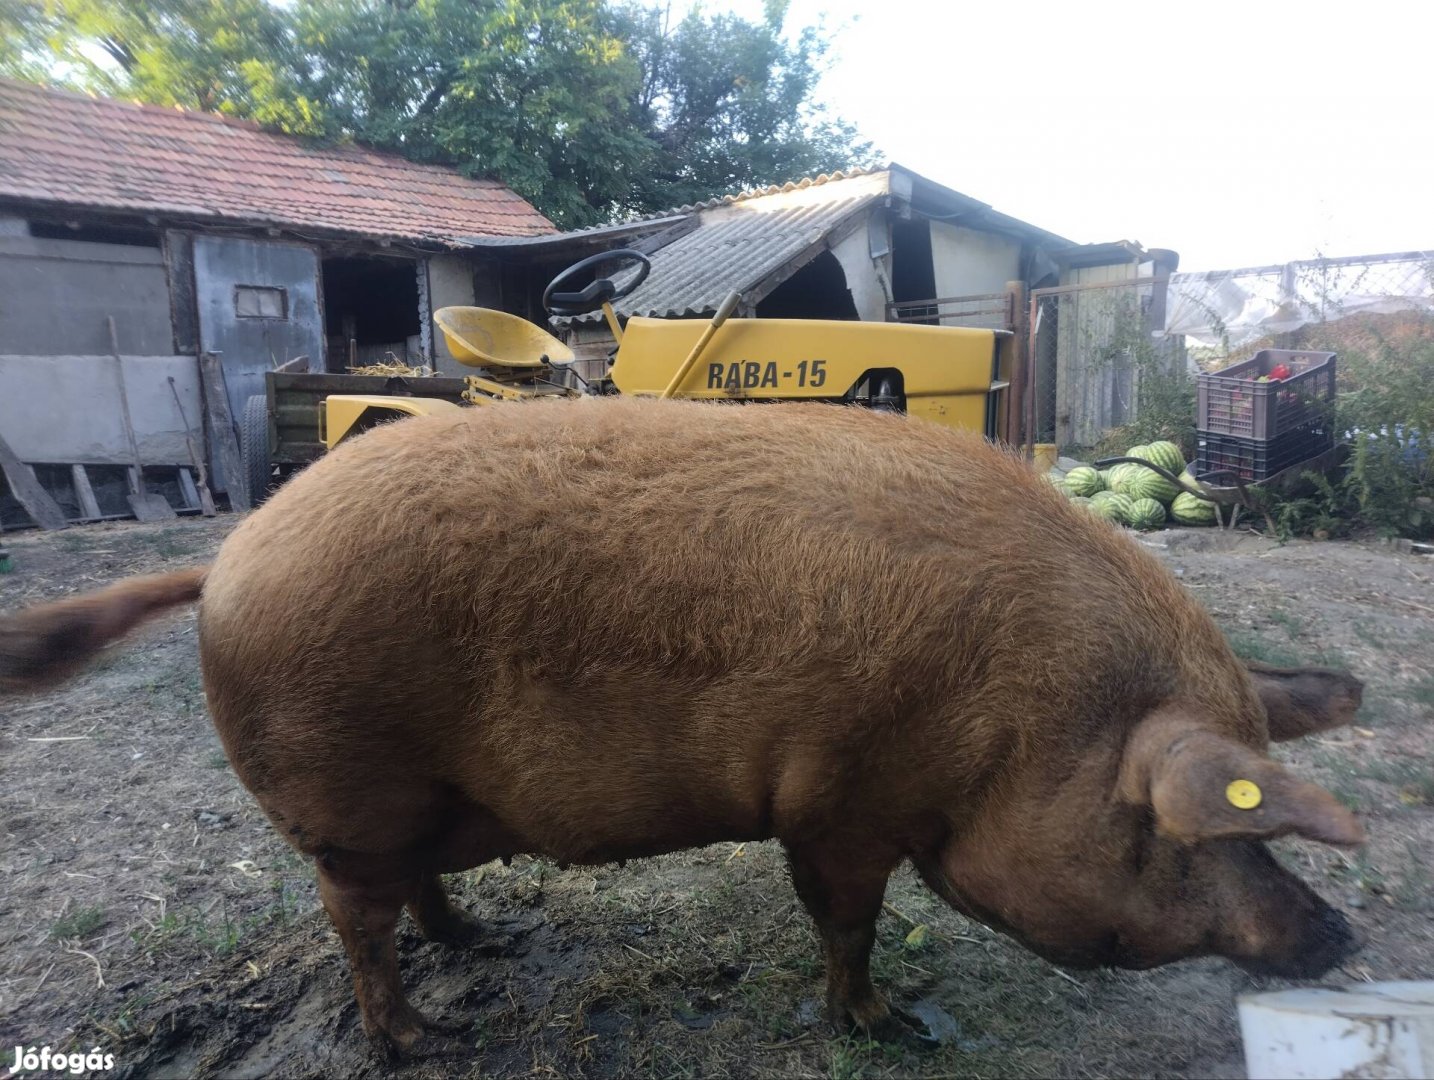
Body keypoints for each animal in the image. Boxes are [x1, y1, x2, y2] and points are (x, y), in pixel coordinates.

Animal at [0, 395, 1365, 1044]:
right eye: (1205, 833)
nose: (1341, 933)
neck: (1029, 727)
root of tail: (226, 561)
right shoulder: (841, 802)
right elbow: (848, 924)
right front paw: (890, 1026)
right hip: (346, 799)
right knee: (358, 929)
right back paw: (427, 1037)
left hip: (410, 802)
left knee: (417, 896)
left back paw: (487, 946)